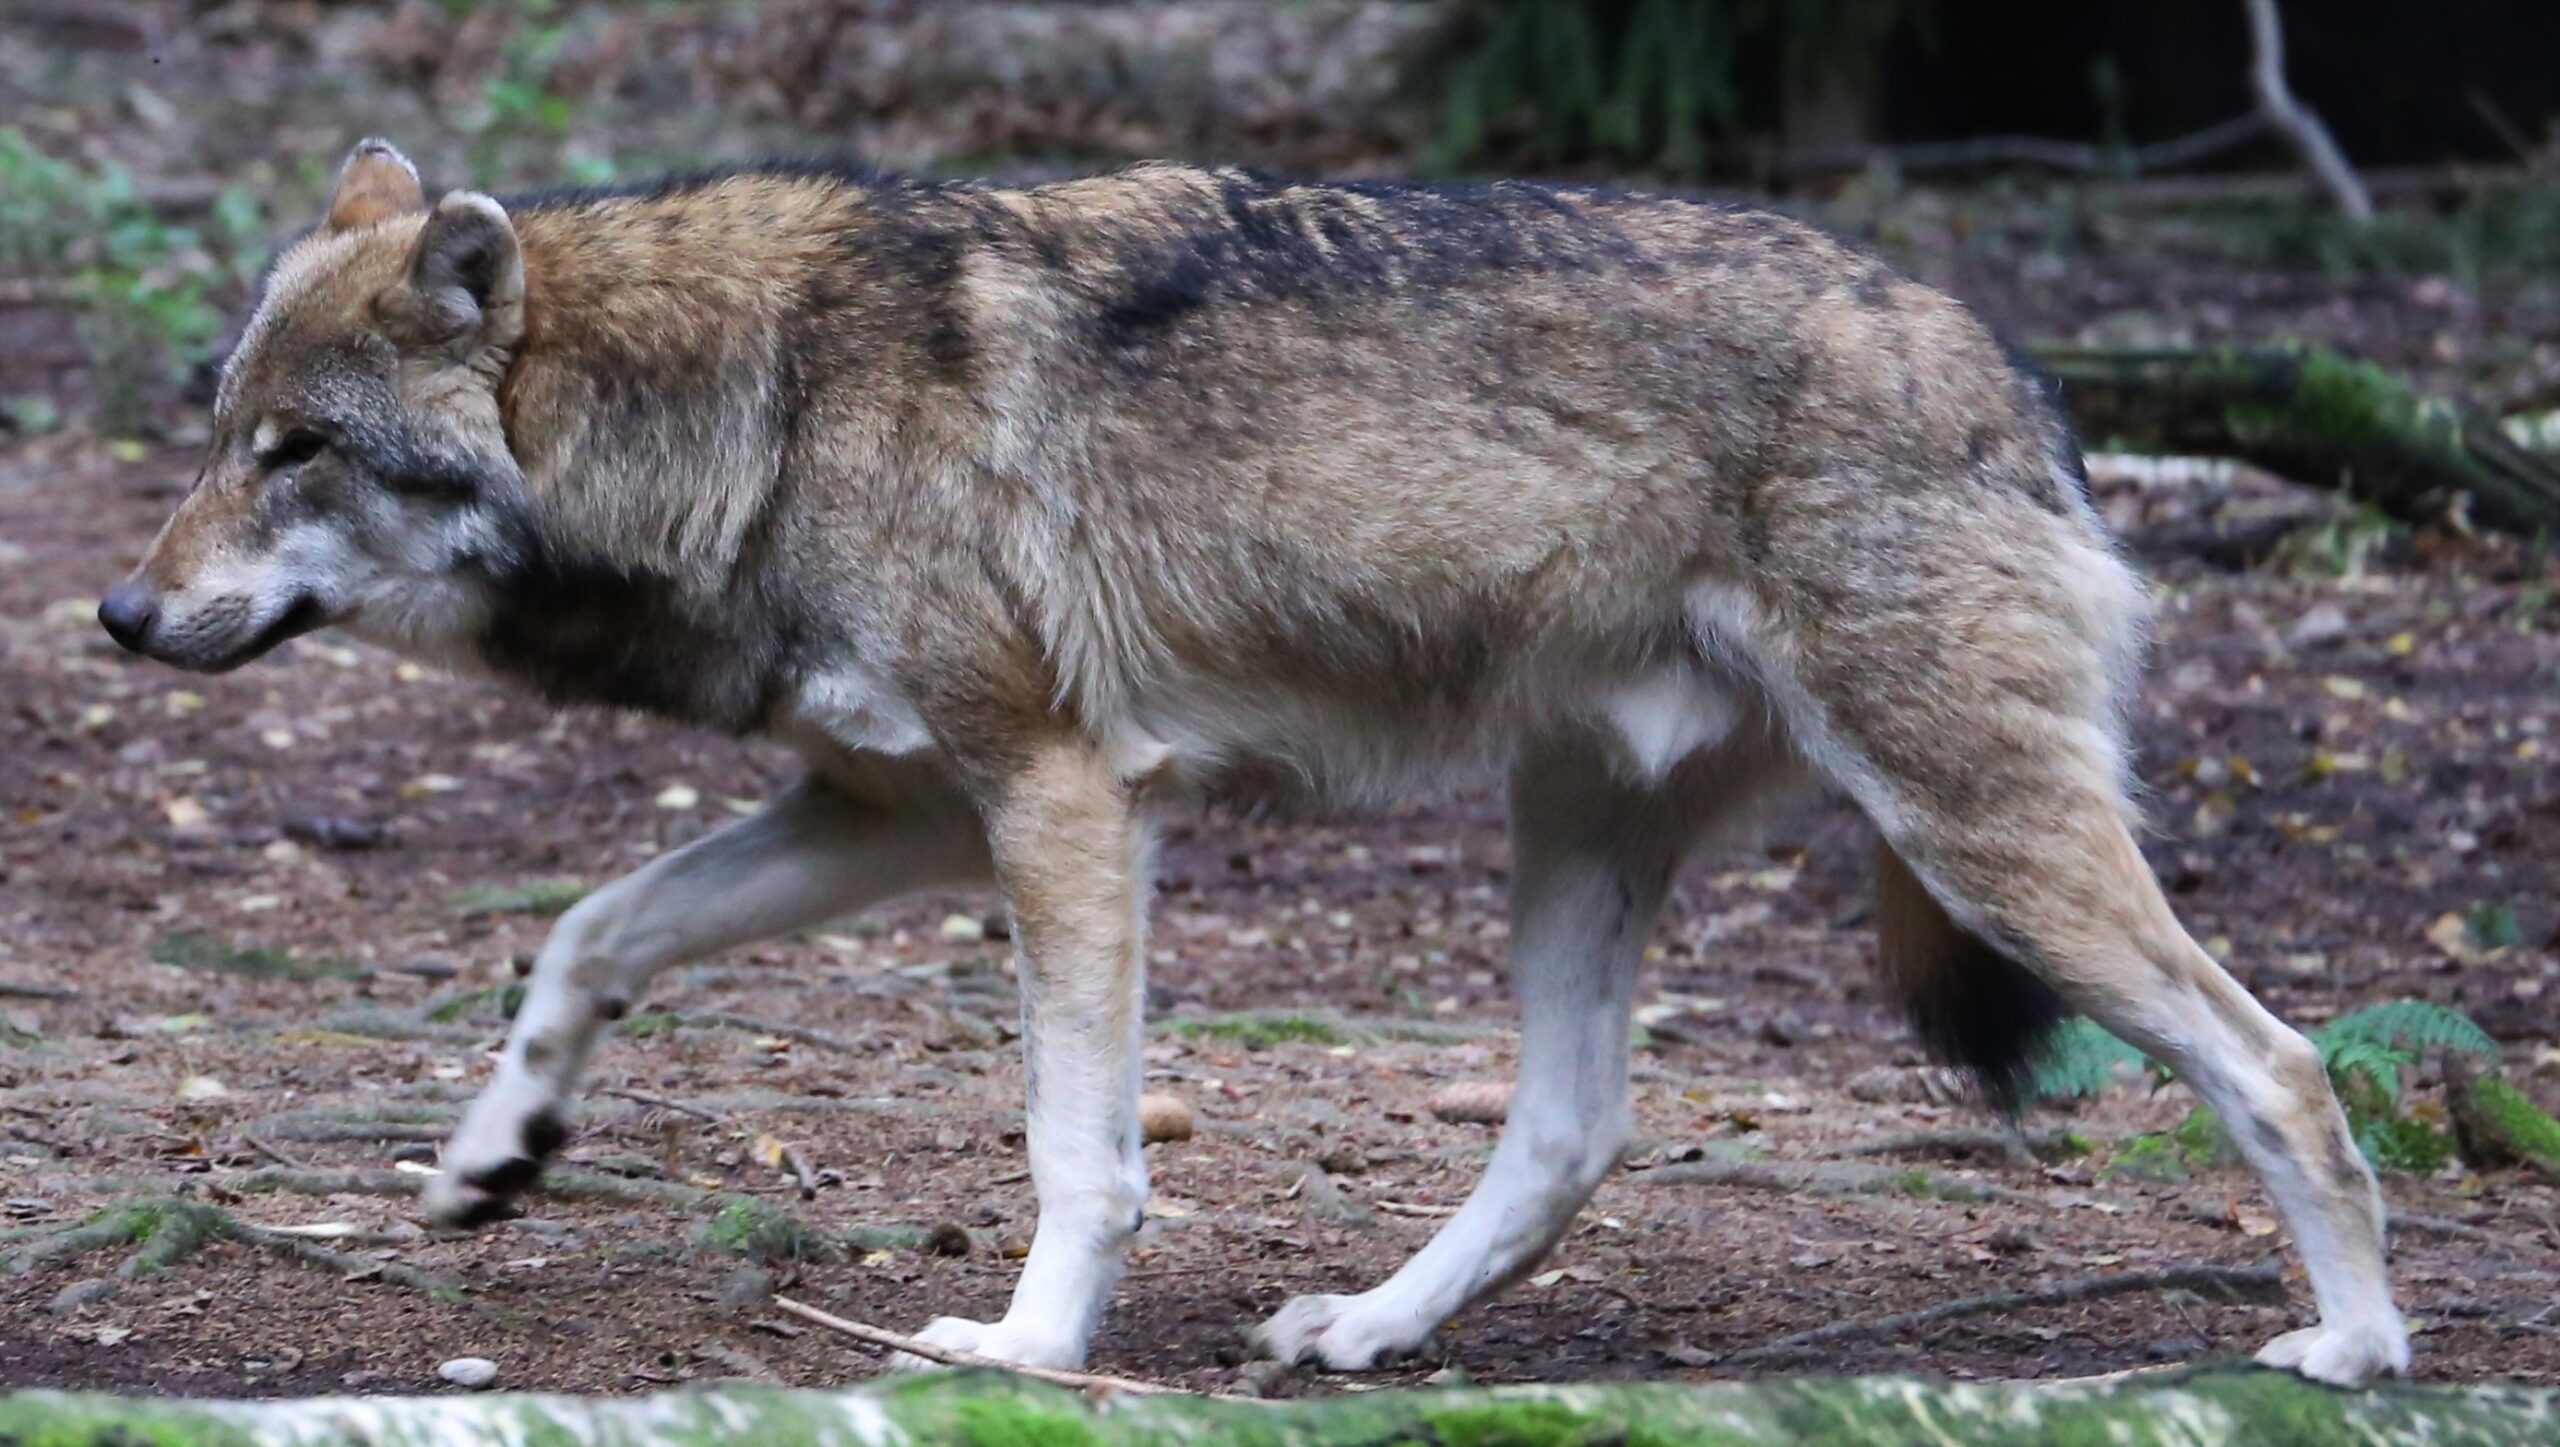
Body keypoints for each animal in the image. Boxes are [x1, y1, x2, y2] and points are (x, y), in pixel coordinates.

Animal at [99, 139, 2408, 1383]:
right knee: (1571, 1128)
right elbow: (588, 930)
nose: (117, 616)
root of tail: (2024, 378)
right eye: (216, 430)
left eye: (298, 452)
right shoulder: (896, 807)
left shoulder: (1055, 801)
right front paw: (499, 1152)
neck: (757, 402)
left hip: (1972, 834)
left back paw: (2360, 1351)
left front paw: (1029, 1353)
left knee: (2284, 1061)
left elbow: (1078, 1145)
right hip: (1577, 832)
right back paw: (1372, 1334)